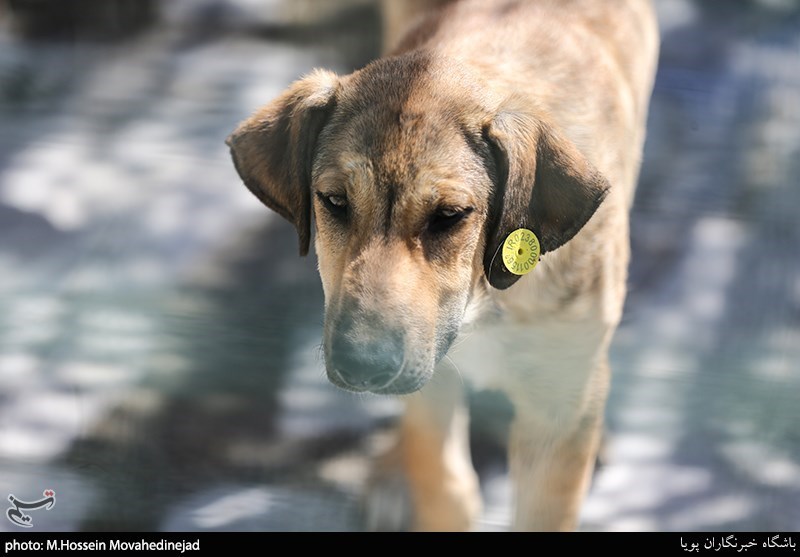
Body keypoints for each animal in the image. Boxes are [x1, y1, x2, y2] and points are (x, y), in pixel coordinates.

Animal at [225, 0, 656, 528]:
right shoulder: (432, 383)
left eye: (450, 216)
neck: (487, 300)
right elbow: (446, 484)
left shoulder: (554, 415)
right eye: (334, 202)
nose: (361, 366)